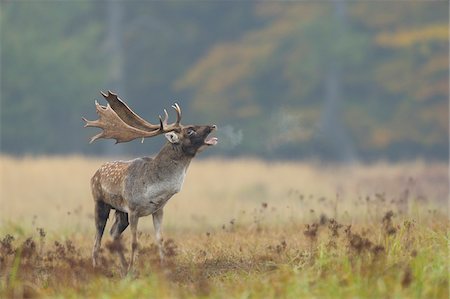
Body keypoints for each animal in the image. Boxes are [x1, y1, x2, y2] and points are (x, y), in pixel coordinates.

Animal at [84, 91, 220, 272]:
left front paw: (164, 268)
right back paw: (98, 268)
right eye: (190, 130)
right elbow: (134, 242)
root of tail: (95, 174)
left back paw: (123, 268)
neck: (154, 189)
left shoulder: (158, 209)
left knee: (113, 233)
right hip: (100, 203)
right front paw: (133, 270)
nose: (212, 126)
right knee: (96, 240)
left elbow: (159, 240)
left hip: (120, 212)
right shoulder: (133, 209)